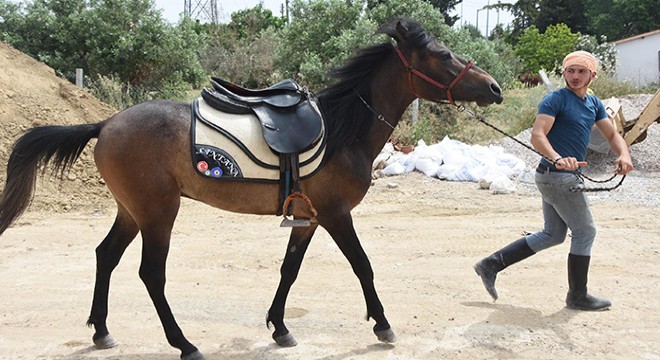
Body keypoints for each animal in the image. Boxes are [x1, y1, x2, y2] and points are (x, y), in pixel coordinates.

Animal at [0, 17, 500, 360]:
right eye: (444, 55)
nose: (494, 88)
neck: (343, 131)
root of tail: (105, 123)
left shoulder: (308, 217)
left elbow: (289, 271)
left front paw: (279, 327)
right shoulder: (336, 214)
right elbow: (363, 266)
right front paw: (382, 324)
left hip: (132, 211)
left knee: (106, 256)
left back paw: (102, 331)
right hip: (158, 213)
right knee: (150, 274)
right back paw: (184, 344)